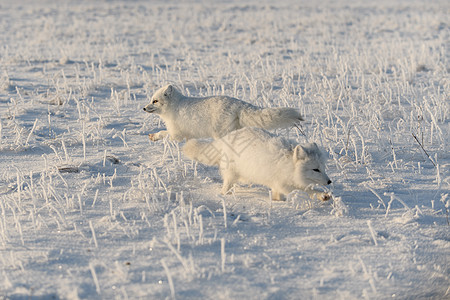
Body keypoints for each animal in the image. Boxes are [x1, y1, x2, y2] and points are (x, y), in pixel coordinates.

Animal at [142, 84, 302, 141]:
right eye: (151, 100)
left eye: (155, 101)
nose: (144, 108)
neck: (175, 107)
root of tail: (238, 103)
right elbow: (162, 132)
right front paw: (153, 136)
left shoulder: (177, 133)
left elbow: (167, 136)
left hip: (220, 132)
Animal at [181, 127, 332, 200]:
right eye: (315, 169)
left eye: (323, 168)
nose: (329, 181)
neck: (288, 164)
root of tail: (226, 138)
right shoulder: (283, 184)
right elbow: (308, 190)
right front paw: (322, 195)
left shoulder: (277, 184)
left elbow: (278, 196)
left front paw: (278, 202)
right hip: (231, 175)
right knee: (225, 188)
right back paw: (225, 196)